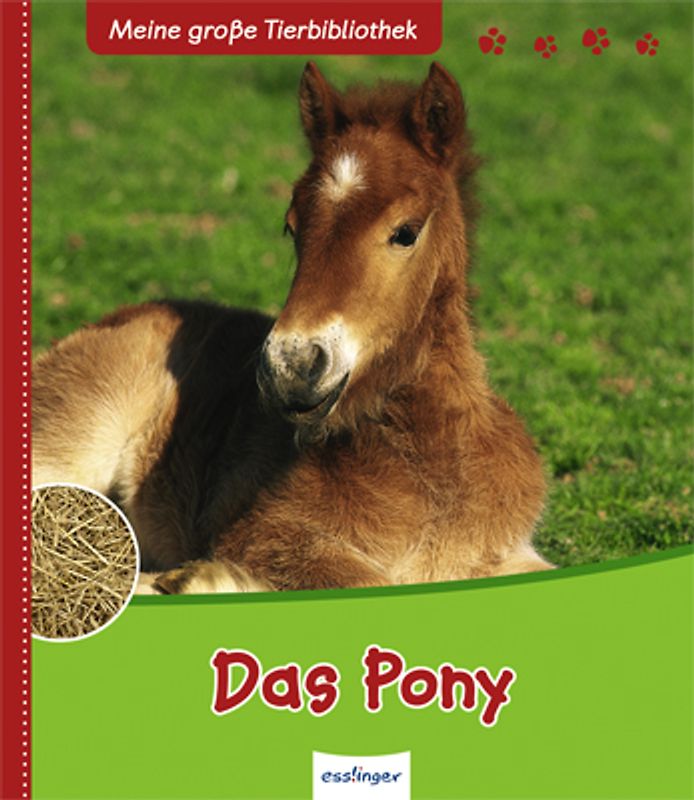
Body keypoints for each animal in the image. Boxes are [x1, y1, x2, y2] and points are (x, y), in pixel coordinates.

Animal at [32, 62, 552, 594]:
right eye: (292, 227)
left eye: (406, 232)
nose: (292, 367)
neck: (434, 467)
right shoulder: (271, 534)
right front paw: (199, 579)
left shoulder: (510, 551)